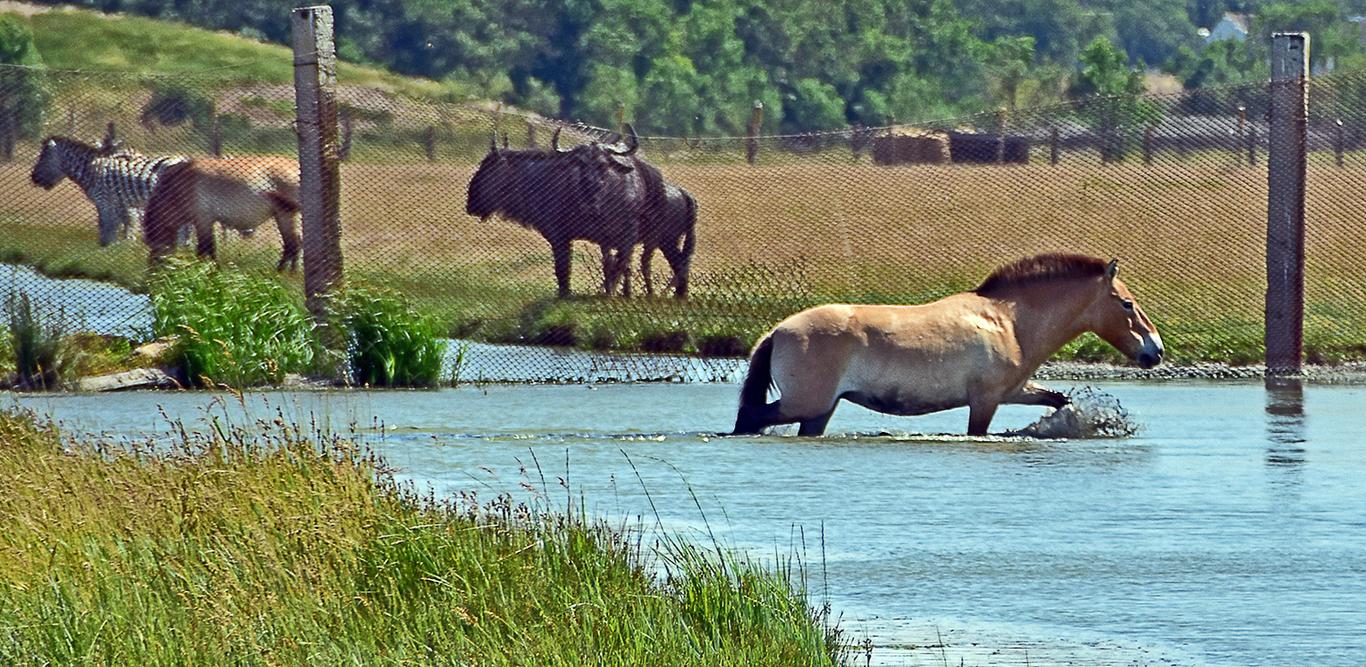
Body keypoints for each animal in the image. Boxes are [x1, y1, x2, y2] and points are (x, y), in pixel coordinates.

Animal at [142, 156, 300, 270]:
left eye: (156, 250)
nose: (151, 275)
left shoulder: (203, 219)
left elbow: (206, 248)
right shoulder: (205, 221)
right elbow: (208, 248)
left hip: (286, 215)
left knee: (293, 245)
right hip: (282, 216)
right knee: (291, 246)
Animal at [467, 127, 652, 296]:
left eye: (487, 167)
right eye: (580, 164)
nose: (471, 203)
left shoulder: (562, 236)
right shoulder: (568, 238)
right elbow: (566, 268)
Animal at [737, 252, 1163, 434]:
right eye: (1127, 304)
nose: (1155, 350)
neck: (1008, 323)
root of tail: (777, 331)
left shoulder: (1014, 391)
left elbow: (1059, 399)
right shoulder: (985, 402)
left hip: (820, 411)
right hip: (806, 404)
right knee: (749, 419)